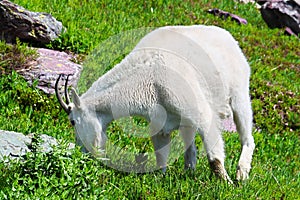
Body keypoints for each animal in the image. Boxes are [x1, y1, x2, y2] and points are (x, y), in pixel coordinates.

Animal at [55, 25, 255, 183]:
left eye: (72, 121)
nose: (82, 154)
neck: (145, 77)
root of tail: (229, 37)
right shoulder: (159, 122)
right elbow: (161, 155)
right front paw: (161, 179)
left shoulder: (201, 111)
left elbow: (214, 156)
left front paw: (226, 183)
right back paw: (189, 172)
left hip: (239, 93)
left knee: (247, 136)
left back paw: (241, 175)